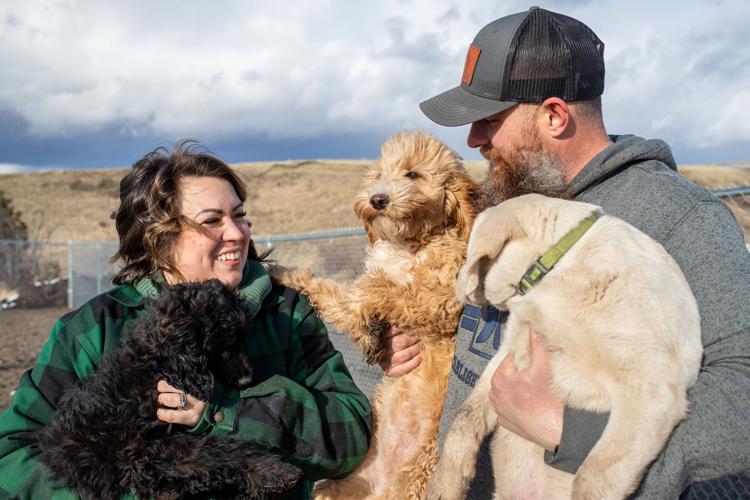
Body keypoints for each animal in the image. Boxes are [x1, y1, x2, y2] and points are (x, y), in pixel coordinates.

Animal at [36, 280, 302, 500]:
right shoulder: (145, 448)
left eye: (241, 339)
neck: (155, 367)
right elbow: (214, 450)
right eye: (221, 345)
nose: (248, 379)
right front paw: (272, 471)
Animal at [274, 131, 476, 498]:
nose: (377, 199)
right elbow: (338, 290)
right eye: (380, 173)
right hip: (337, 487)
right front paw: (287, 274)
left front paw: (364, 327)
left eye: (412, 174)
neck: (411, 243)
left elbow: (375, 286)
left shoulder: (441, 301)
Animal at [428, 193, 704, 498]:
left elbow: (594, 476)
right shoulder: (510, 352)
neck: (559, 266)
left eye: (469, 254)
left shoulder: (650, 389)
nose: (454, 287)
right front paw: (445, 484)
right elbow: (464, 419)